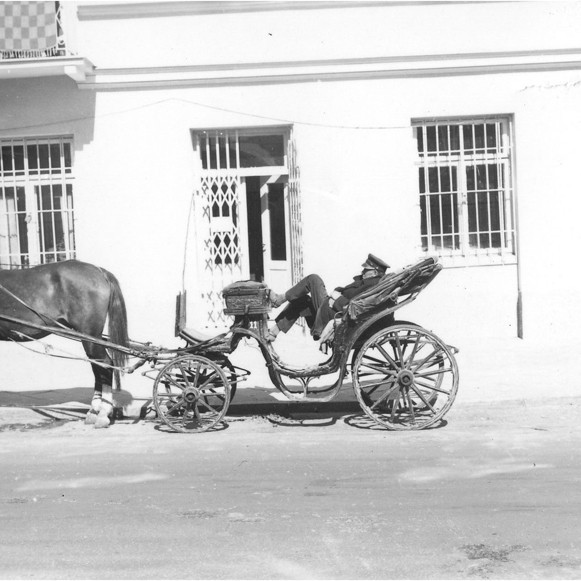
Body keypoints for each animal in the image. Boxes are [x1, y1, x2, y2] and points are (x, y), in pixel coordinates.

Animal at [0, 260, 129, 428]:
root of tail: (99, 271)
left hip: (90, 335)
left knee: (105, 365)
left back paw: (102, 413)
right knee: (98, 366)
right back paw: (93, 411)